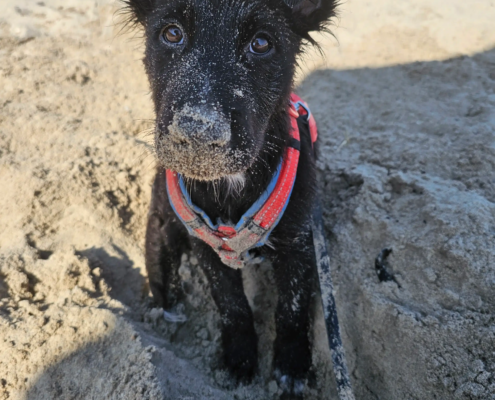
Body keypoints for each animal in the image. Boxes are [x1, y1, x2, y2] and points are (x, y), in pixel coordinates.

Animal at [123, 1, 340, 398]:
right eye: (171, 33)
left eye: (262, 43)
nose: (197, 132)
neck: (229, 188)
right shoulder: (205, 244)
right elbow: (231, 302)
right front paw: (239, 359)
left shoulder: (300, 242)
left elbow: (292, 307)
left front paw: (292, 365)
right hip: (162, 223)